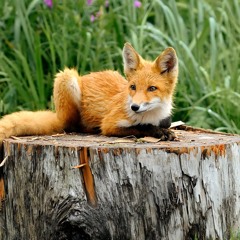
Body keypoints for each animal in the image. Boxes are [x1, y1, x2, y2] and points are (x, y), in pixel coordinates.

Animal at [0, 43, 176, 146]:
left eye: (152, 88)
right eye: (133, 87)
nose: (134, 107)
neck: (152, 115)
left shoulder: (164, 118)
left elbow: (163, 123)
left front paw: (162, 129)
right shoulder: (110, 125)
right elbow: (140, 127)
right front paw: (158, 131)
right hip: (67, 78)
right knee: (72, 125)